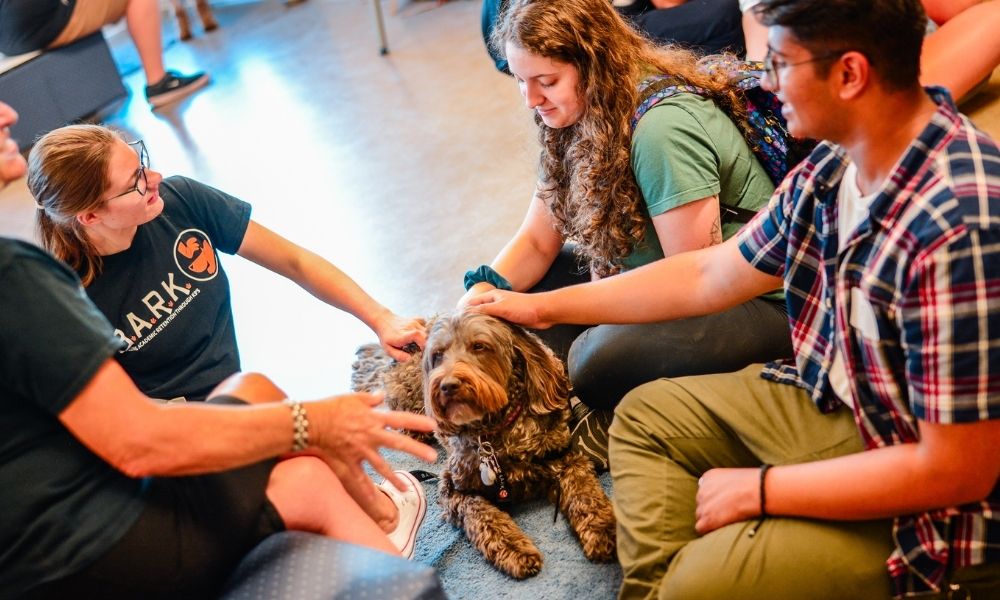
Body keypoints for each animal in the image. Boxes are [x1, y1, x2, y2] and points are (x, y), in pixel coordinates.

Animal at [352, 312, 616, 580]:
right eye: (438, 355)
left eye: (479, 346)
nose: (448, 385)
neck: (495, 434)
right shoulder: (453, 489)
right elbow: (482, 515)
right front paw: (514, 550)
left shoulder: (566, 459)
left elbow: (586, 494)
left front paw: (604, 528)